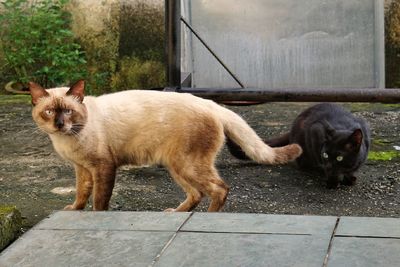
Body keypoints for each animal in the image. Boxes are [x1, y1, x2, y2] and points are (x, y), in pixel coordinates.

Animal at [28, 80, 300, 213]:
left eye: (68, 111)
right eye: (49, 111)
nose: (59, 124)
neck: (67, 140)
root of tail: (212, 104)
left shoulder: (103, 167)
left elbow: (99, 200)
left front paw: (94, 216)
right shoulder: (82, 168)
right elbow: (81, 193)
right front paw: (74, 209)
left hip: (186, 165)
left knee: (219, 189)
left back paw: (207, 217)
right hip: (175, 166)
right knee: (197, 193)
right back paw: (176, 213)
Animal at [228, 102, 372, 188]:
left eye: (339, 158)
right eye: (325, 154)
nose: (328, 166)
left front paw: (349, 177)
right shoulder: (315, 131)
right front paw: (332, 181)